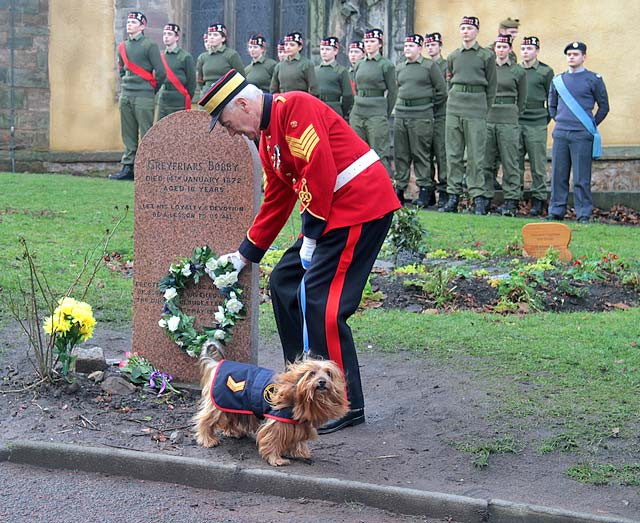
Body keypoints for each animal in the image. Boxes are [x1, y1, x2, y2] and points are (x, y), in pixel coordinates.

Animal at [194, 356, 348, 466]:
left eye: (329, 374)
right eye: (312, 373)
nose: (322, 381)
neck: (296, 390)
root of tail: (216, 364)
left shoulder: (297, 423)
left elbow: (298, 438)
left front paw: (300, 452)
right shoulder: (278, 422)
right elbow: (272, 439)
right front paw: (276, 459)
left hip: (233, 403)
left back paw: (233, 432)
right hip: (219, 403)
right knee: (205, 419)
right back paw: (207, 439)